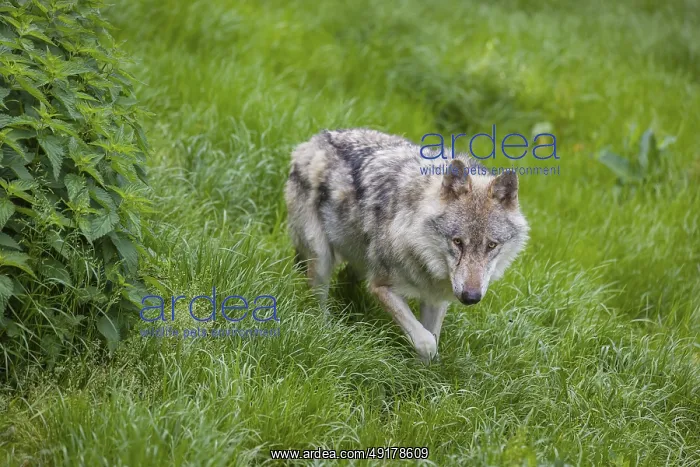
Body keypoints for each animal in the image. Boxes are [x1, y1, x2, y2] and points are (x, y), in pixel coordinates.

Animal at [284, 128, 529, 363]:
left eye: (491, 245)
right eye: (458, 242)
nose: (471, 297)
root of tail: (310, 142)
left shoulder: (436, 298)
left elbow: (432, 339)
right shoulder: (381, 286)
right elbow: (427, 342)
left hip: (361, 261)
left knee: (346, 278)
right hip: (322, 260)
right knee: (318, 301)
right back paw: (326, 330)